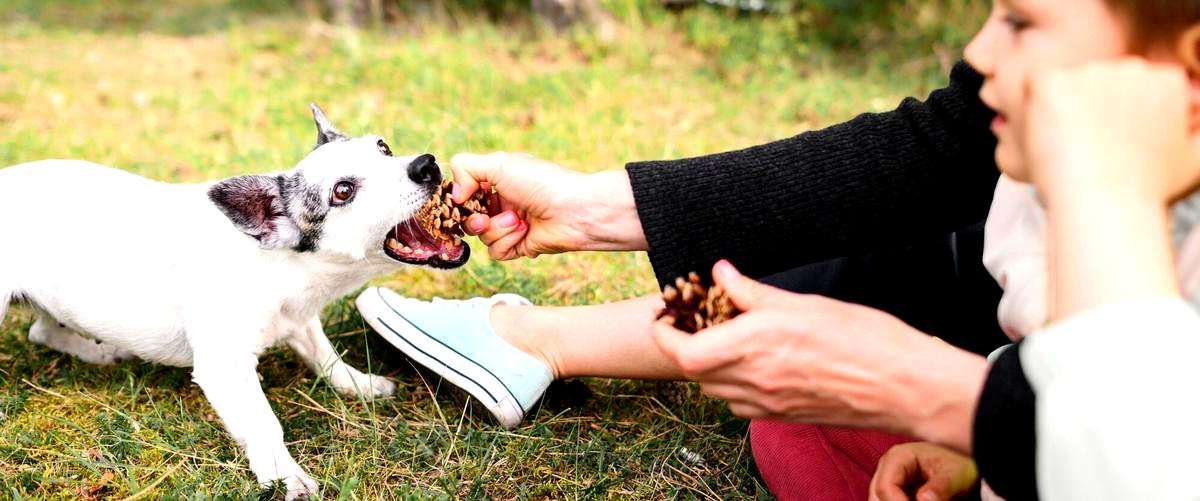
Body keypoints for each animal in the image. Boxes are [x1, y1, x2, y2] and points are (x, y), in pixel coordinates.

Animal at [0, 104, 468, 496]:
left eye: (383, 147)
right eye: (343, 191)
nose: (425, 165)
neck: (281, 263)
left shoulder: (300, 320)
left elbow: (325, 356)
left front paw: (358, 384)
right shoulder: (226, 368)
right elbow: (264, 422)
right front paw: (285, 475)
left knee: (42, 329)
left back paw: (99, 352)